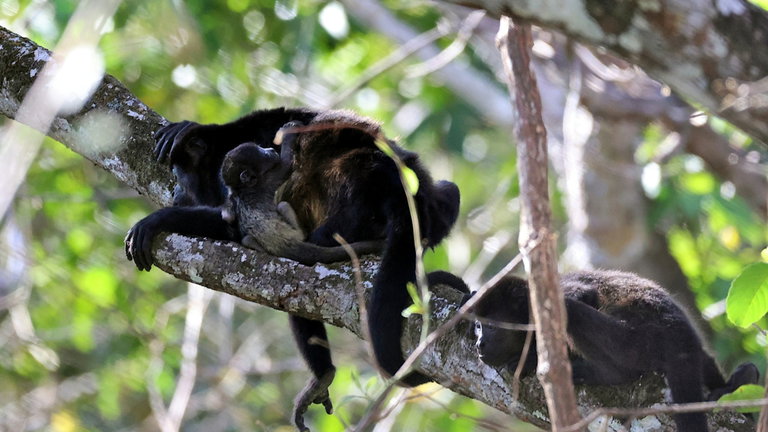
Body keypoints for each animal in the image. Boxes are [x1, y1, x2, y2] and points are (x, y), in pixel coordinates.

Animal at [124, 108, 460, 430]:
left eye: (181, 177)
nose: (176, 193)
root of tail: (390, 178)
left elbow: (230, 220)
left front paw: (155, 220)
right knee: (449, 191)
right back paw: (323, 374)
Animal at [468, 270, 759, 432]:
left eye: (491, 327)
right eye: (478, 327)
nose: (479, 344)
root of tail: (678, 335)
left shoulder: (550, 296)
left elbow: (580, 296)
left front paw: (529, 359)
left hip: (635, 341)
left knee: (573, 313)